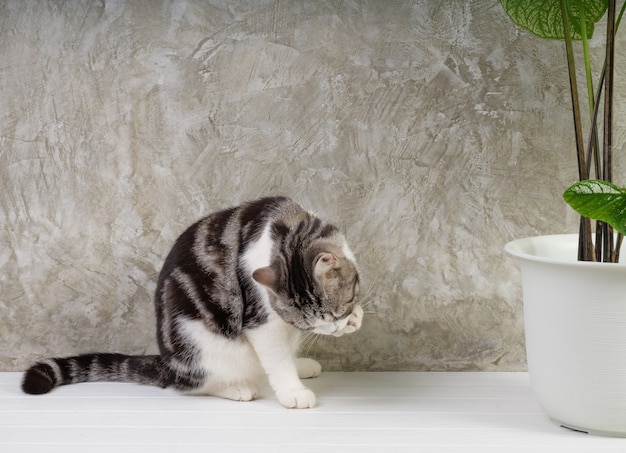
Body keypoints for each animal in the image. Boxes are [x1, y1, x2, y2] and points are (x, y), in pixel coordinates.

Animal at [20, 196, 360, 408]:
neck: (286, 228)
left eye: (333, 315)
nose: (335, 329)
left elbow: (283, 351)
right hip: (197, 342)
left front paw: (355, 319)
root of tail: (168, 364)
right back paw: (237, 387)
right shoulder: (261, 320)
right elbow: (276, 358)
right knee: (194, 384)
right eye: (317, 320)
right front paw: (293, 391)